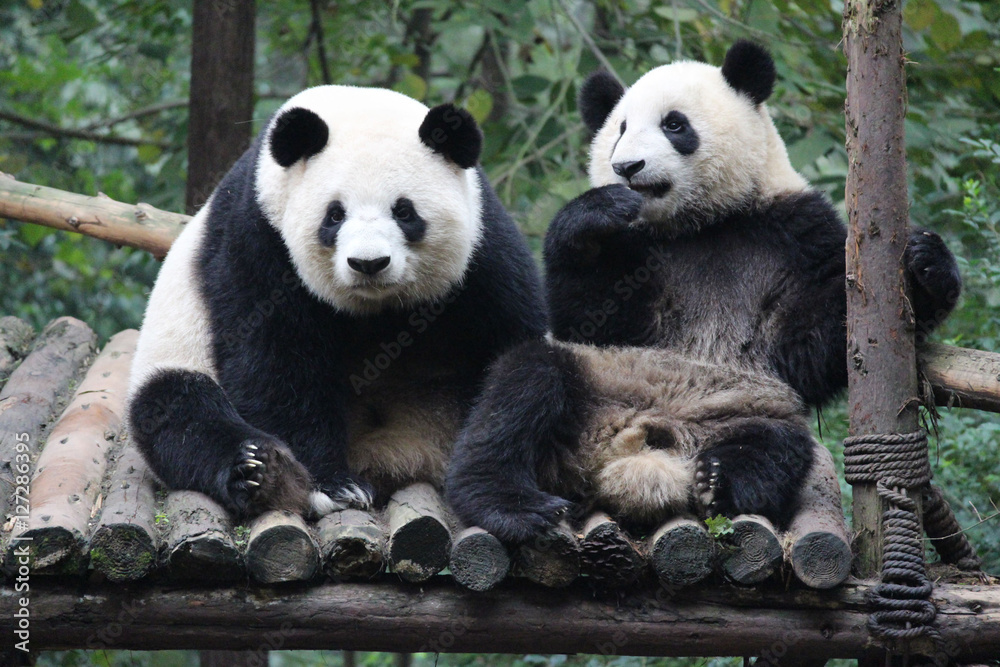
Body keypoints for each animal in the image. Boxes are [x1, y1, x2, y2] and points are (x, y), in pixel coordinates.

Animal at [128, 85, 547, 520]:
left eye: (404, 211)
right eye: (334, 215)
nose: (369, 263)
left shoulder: (482, 248)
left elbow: (514, 354)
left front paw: (509, 499)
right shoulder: (260, 238)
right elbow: (276, 360)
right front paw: (333, 485)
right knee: (180, 410)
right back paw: (260, 472)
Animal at [446, 41, 962, 543]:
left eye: (675, 124)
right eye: (620, 129)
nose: (626, 167)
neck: (699, 224)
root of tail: (623, 451)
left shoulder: (796, 232)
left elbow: (818, 346)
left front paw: (925, 266)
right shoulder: (637, 262)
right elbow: (592, 318)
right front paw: (595, 216)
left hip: (742, 404)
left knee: (775, 446)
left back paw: (717, 481)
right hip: (600, 377)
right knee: (523, 386)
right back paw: (512, 506)